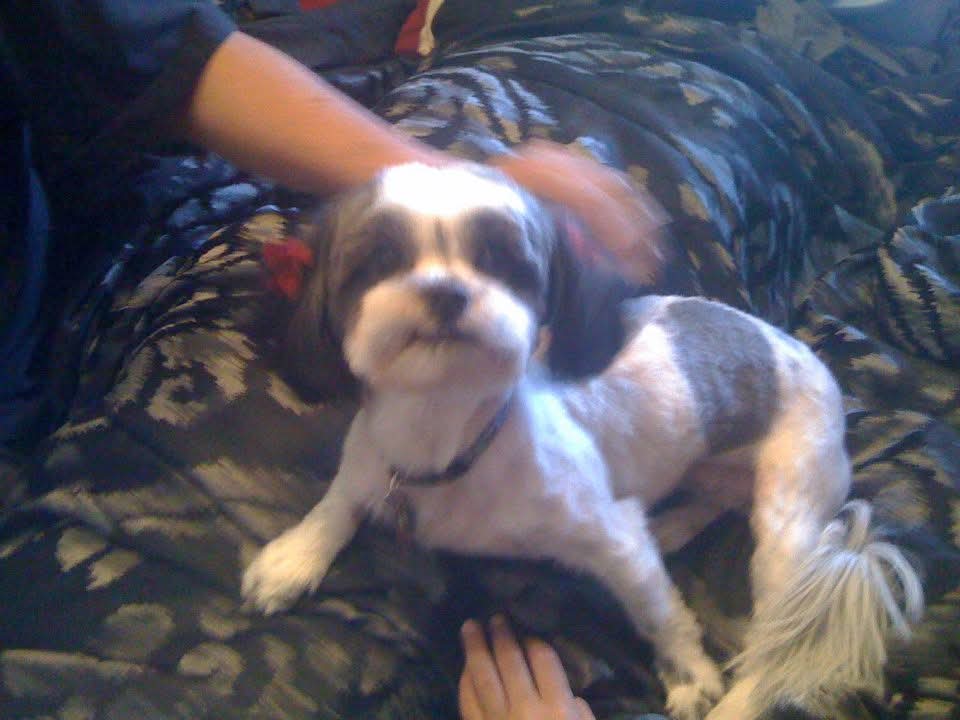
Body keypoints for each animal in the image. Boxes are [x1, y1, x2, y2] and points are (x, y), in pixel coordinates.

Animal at [241, 163, 923, 720]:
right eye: (379, 261)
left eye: (501, 261)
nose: (444, 290)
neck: (450, 436)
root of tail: (806, 356)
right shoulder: (370, 458)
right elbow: (340, 500)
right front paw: (293, 557)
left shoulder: (609, 534)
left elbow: (658, 611)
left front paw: (690, 677)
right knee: (709, 501)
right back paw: (671, 524)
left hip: (788, 511)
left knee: (773, 643)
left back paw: (739, 699)